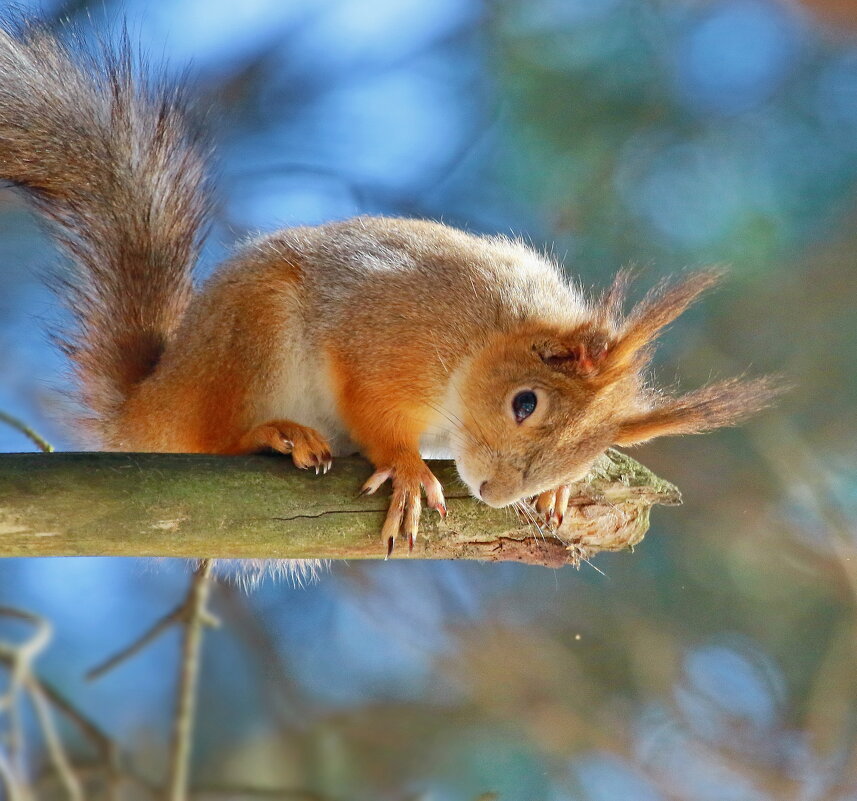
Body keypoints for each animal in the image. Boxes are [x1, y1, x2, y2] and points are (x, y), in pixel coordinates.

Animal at [0, 20, 780, 556]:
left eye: (587, 450)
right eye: (524, 403)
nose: (495, 492)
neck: (484, 335)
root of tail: (147, 404)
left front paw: (559, 487)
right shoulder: (389, 329)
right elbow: (371, 402)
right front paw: (407, 470)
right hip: (247, 338)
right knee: (212, 438)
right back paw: (274, 433)